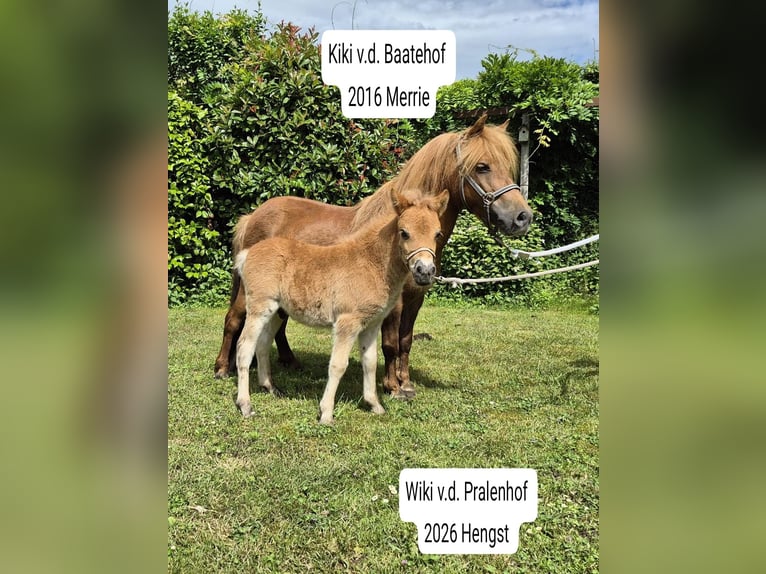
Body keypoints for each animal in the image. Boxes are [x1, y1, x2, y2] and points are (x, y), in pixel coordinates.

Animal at [214, 113, 533, 399]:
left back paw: (289, 362)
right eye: (482, 166)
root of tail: (252, 217)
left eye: (507, 166)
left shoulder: (416, 297)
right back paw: (222, 369)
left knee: (277, 327)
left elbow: (406, 341)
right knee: (233, 320)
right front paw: (392, 387)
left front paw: (406, 383)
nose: (522, 217)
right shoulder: (395, 302)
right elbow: (390, 343)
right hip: (249, 293)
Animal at [233, 188, 449, 424]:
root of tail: (248, 253)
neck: (371, 264)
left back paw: (270, 387)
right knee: (244, 347)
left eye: (438, 234)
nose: (424, 271)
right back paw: (245, 405)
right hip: (259, 307)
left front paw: (374, 405)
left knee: (262, 344)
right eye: (404, 232)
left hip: (276, 311)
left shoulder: (371, 324)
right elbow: (338, 365)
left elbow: (370, 362)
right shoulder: (347, 322)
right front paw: (326, 413)